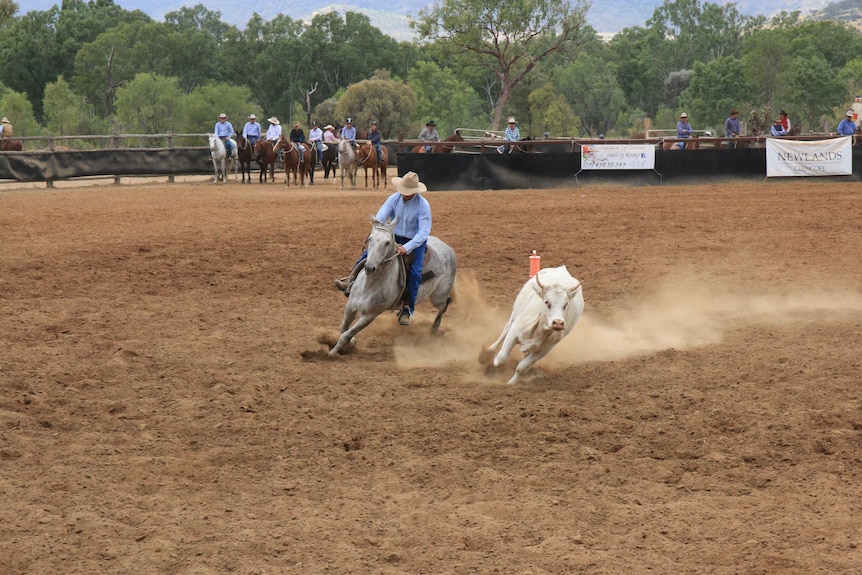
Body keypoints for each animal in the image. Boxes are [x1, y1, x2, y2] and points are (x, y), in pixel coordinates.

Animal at [330, 218, 460, 358]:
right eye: (370, 238)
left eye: (387, 242)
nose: (369, 268)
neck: (369, 285)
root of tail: (448, 248)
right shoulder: (351, 306)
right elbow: (344, 328)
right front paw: (352, 343)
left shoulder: (370, 315)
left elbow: (346, 334)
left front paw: (332, 353)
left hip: (438, 296)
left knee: (445, 304)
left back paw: (434, 328)